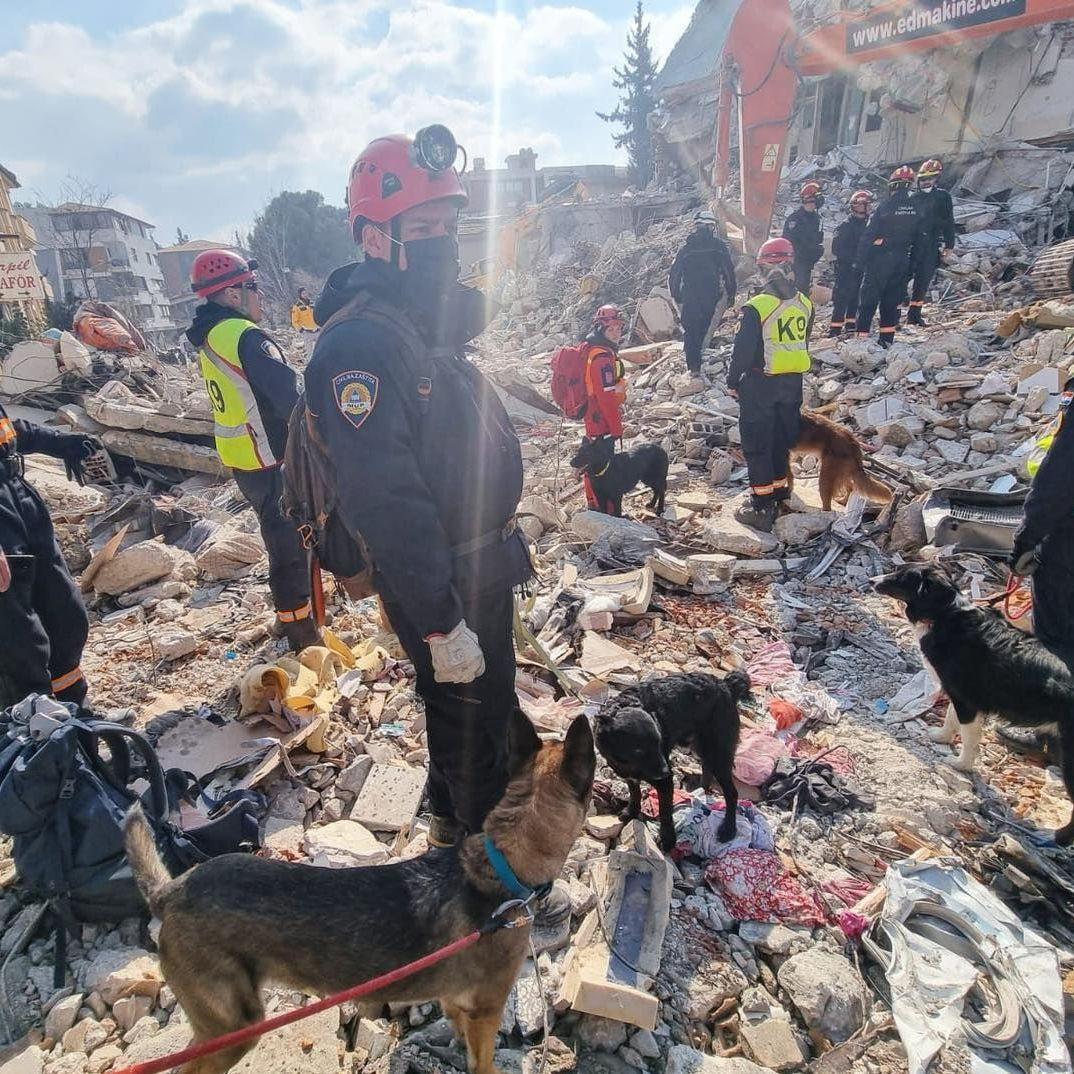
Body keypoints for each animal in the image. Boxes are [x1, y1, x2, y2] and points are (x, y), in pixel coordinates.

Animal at [126, 708, 601, 1069]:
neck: (502, 863)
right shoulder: (485, 1010)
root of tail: (171, 892)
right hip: (236, 1027)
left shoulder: (457, 1003)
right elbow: (482, 1062)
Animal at [592, 670, 751, 854]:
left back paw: (728, 829)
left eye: (659, 742)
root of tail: (725, 685)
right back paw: (702, 789)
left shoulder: (665, 784)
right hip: (702, 747)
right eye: (639, 750)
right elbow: (635, 793)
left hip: (719, 753)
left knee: (732, 793)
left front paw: (668, 840)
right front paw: (632, 811)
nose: (666, 772)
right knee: (707, 767)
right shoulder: (629, 775)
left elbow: (665, 812)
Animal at [872, 562, 1074, 846]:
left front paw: (960, 765)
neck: (946, 613)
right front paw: (941, 737)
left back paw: (1053, 836)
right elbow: (950, 718)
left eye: (901, 577)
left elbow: (969, 738)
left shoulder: (968, 701)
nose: (872, 581)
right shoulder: (955, 692)